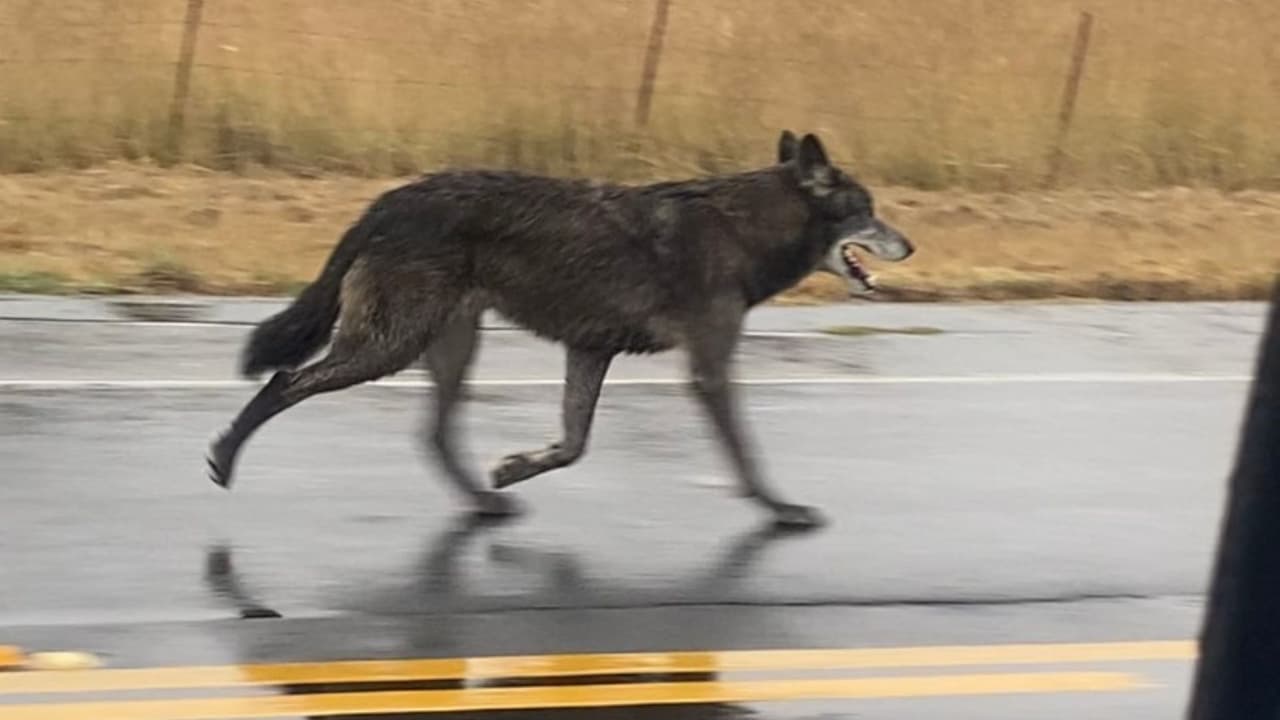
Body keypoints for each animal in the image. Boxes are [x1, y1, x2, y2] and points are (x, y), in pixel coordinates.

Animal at [206, 131, 914, 528]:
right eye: (869, 211)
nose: (910, 244)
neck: (743, 228)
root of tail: (388, 200)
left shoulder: (590, 349)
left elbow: (573, 445)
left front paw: (514, 468)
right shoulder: (709, 370)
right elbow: (746, 456)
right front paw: (780, 510)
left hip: (446, 348)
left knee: (432, 433)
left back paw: (484, 504)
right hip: (387, 347)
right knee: (284, 380)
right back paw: (223, 458)